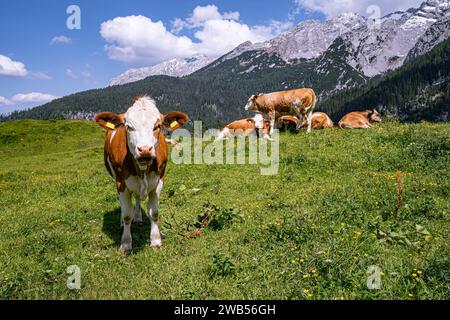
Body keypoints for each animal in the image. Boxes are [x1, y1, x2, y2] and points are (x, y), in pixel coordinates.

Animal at [94, 96, 188, 251]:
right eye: (129, 127)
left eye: (157, 126)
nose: (144, 150)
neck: (142, 169)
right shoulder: (121, 183)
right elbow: (127, 215)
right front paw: (126, 243)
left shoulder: (158, 182)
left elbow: (154, 213)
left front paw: (155, 239)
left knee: (137, 198)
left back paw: (137, 217)